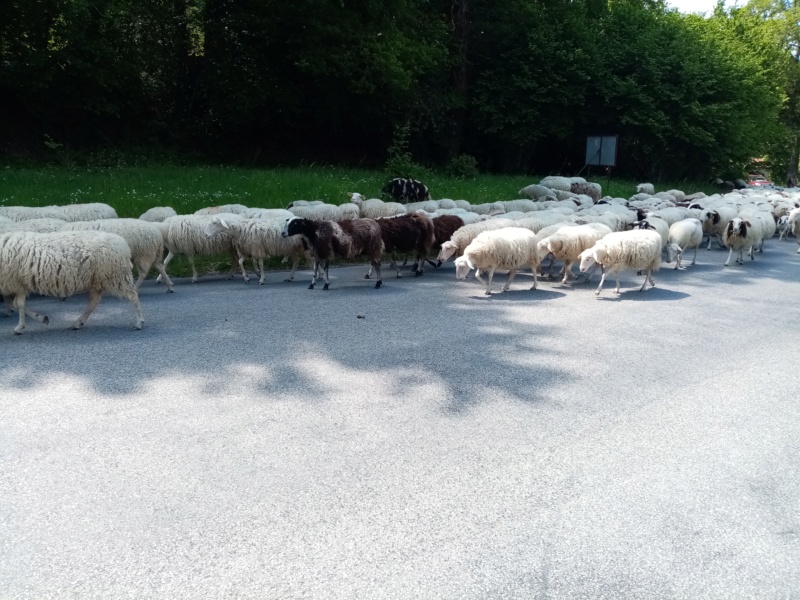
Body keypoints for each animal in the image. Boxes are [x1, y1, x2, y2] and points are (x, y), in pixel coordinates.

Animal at [0, 230, 144, 332]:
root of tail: (122, 243)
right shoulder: (19, 284)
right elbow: (18, 304)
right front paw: (38, 319)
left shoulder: (18, 283)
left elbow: (18, 304)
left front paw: (20, 326)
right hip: (96, 280)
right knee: (94, 302)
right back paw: (77, 323)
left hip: (115, 276)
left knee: (133, 296)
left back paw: (139, 322)